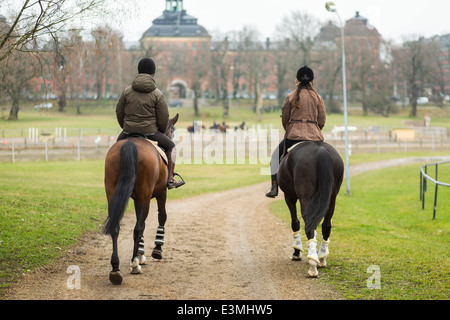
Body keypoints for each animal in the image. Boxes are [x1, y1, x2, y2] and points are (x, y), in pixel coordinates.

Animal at [103, 114, 178, 284]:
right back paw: (134, 264)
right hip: (146, 196)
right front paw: (156, 250)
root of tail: (130, 144)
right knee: (138, 228)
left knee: (116, 227)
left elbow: (142, 222)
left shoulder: (138, 199)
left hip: (113, 194)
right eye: (172, 130)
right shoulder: (160, 193)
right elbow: (161, 217)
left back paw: (115, 269)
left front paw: (140, 253)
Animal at [278, 141, 344, 278]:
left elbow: (295, 223)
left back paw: (312, 265)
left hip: (305, 198)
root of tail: (319, 148)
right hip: (332, 198)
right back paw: (321, 258)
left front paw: (297, 252)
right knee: (326, 225)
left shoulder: (289, 197)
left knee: (309, 225)